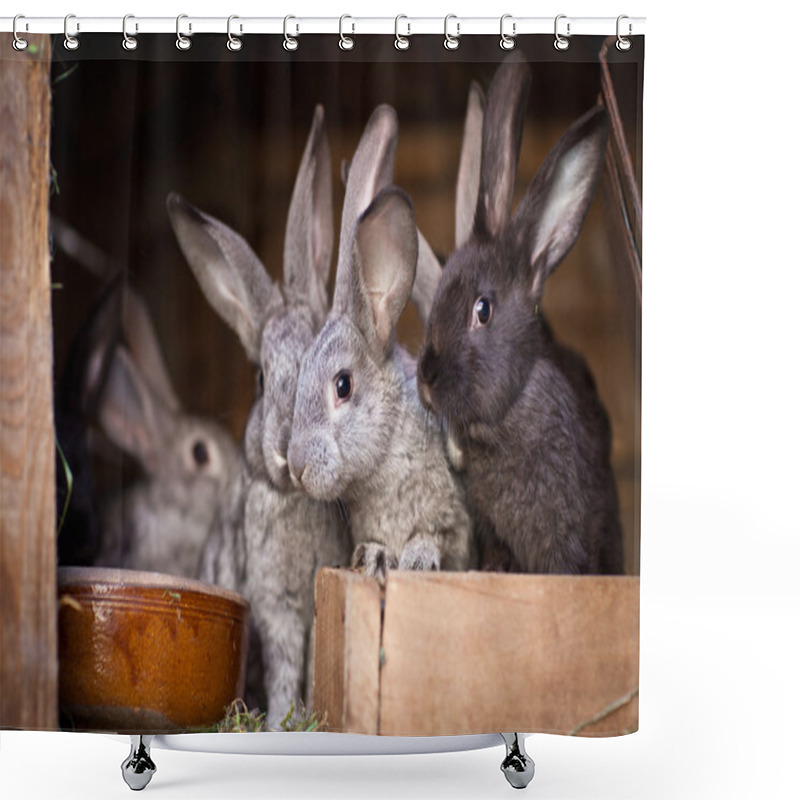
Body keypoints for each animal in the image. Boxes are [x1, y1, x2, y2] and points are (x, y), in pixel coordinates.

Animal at [288, 106, 476, 580]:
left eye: (343, 385)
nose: (297, 467)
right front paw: (372, 556)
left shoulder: (455, 521)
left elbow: (438, 536)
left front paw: (418, 557)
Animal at [418, 61, 624, 576]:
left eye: (483, 310)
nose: (426, 376)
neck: (504, 420)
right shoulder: (492, 530)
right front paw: (492, 571)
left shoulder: (568, 536)